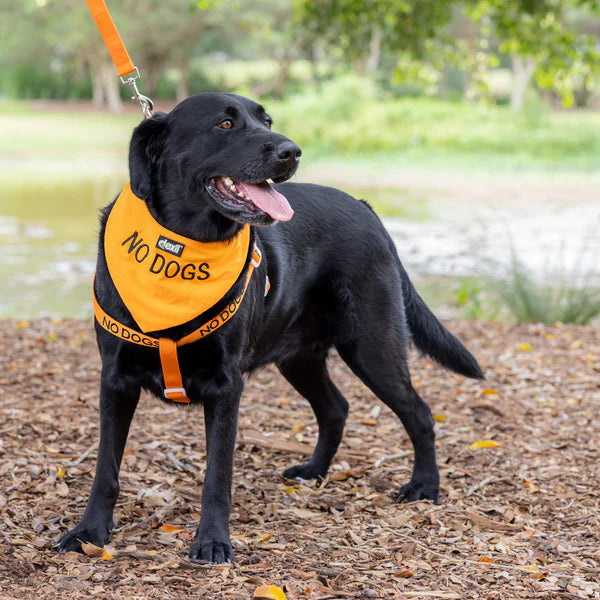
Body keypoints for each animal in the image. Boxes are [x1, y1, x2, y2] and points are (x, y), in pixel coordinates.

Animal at [57, 92, 482, 564]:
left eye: (268, 121)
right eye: (225, 124)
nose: (291, 151)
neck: (183, 247)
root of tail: (366, 208)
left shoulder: (226, 386)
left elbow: (217, 475)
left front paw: (212, 541)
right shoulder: (115, 380)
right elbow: (105, 469)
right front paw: (89, 532)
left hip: (371, 346)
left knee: (419, 412)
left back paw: (425, 486)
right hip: (300, 359)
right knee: (336, 407)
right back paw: (314, 472)